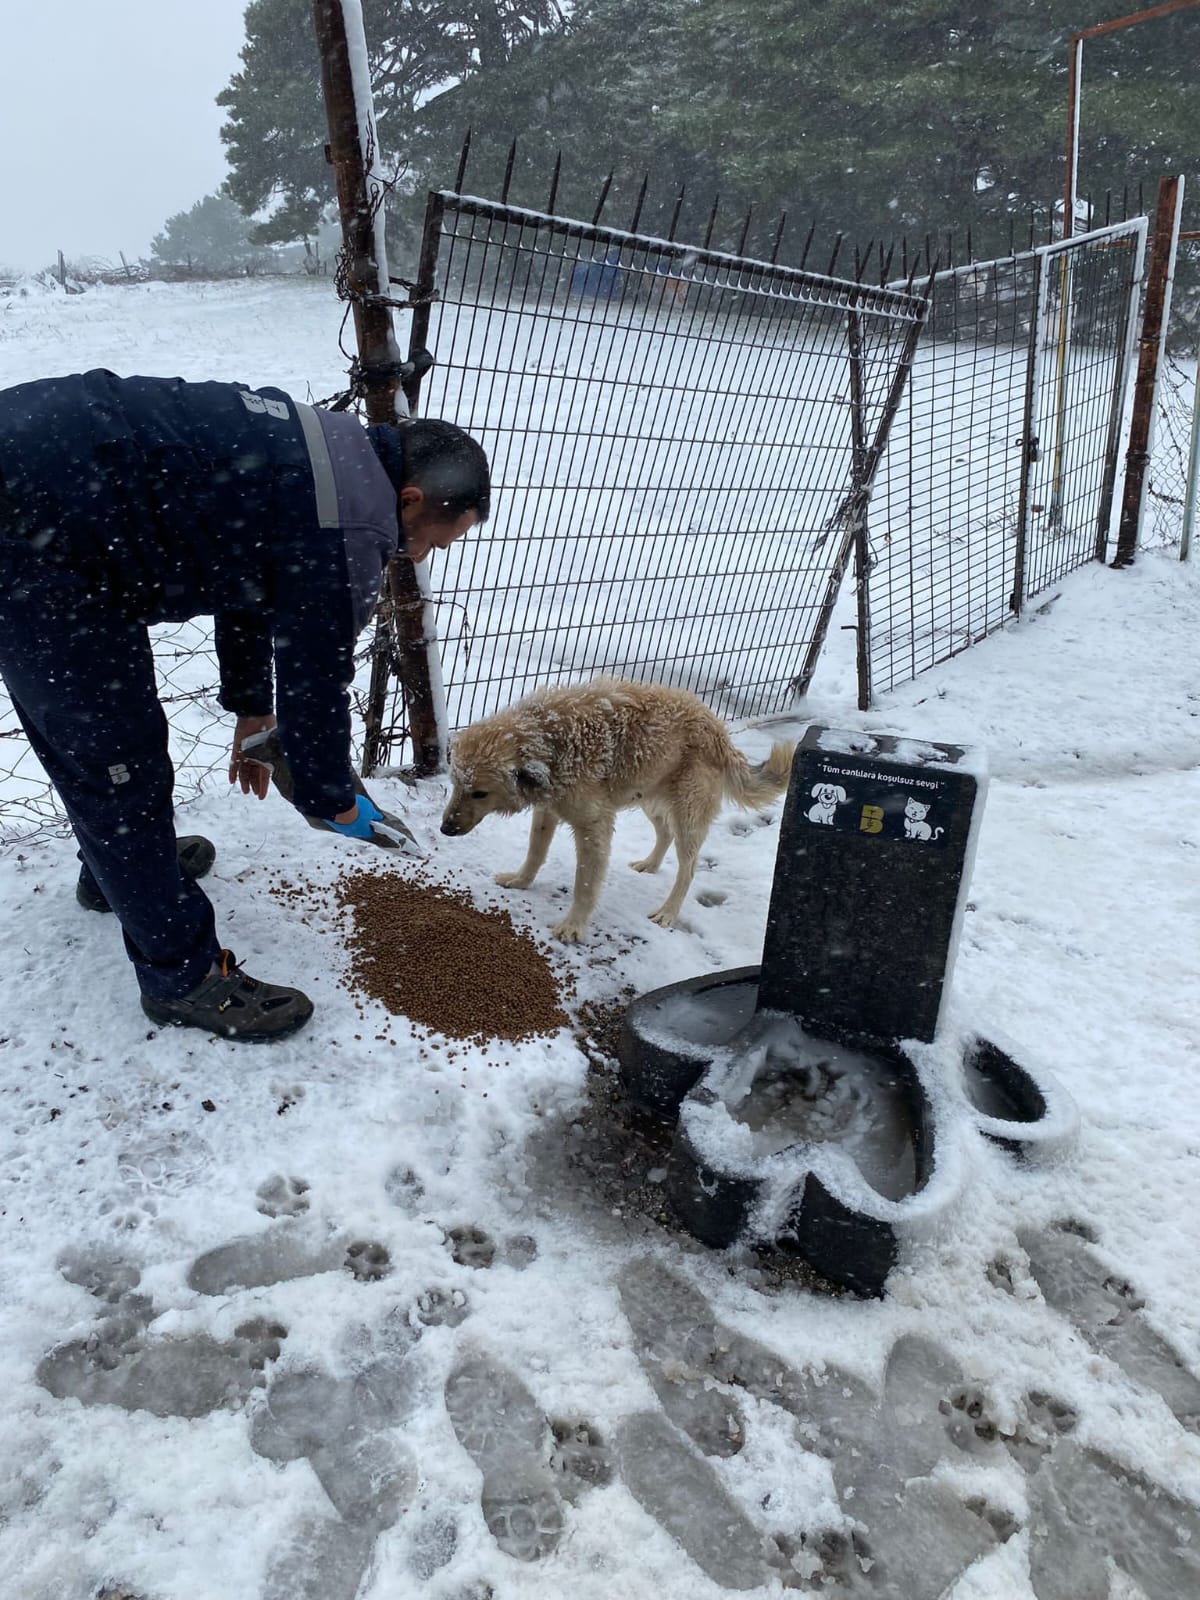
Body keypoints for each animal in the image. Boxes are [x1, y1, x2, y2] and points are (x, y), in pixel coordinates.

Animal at [441, 672, 800, 934]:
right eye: (456, 784)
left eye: (480, 793)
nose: (445, 829)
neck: (548, 741)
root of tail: (719, 730)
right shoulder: (548, 809)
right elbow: (535, 852)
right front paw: (520, 881)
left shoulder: (593, 828)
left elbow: (585, 884)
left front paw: (573, 926)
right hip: (649, 799)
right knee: (664, 833)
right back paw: (650, 865)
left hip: (687, 816)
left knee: (688, 868)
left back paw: (668, 912)